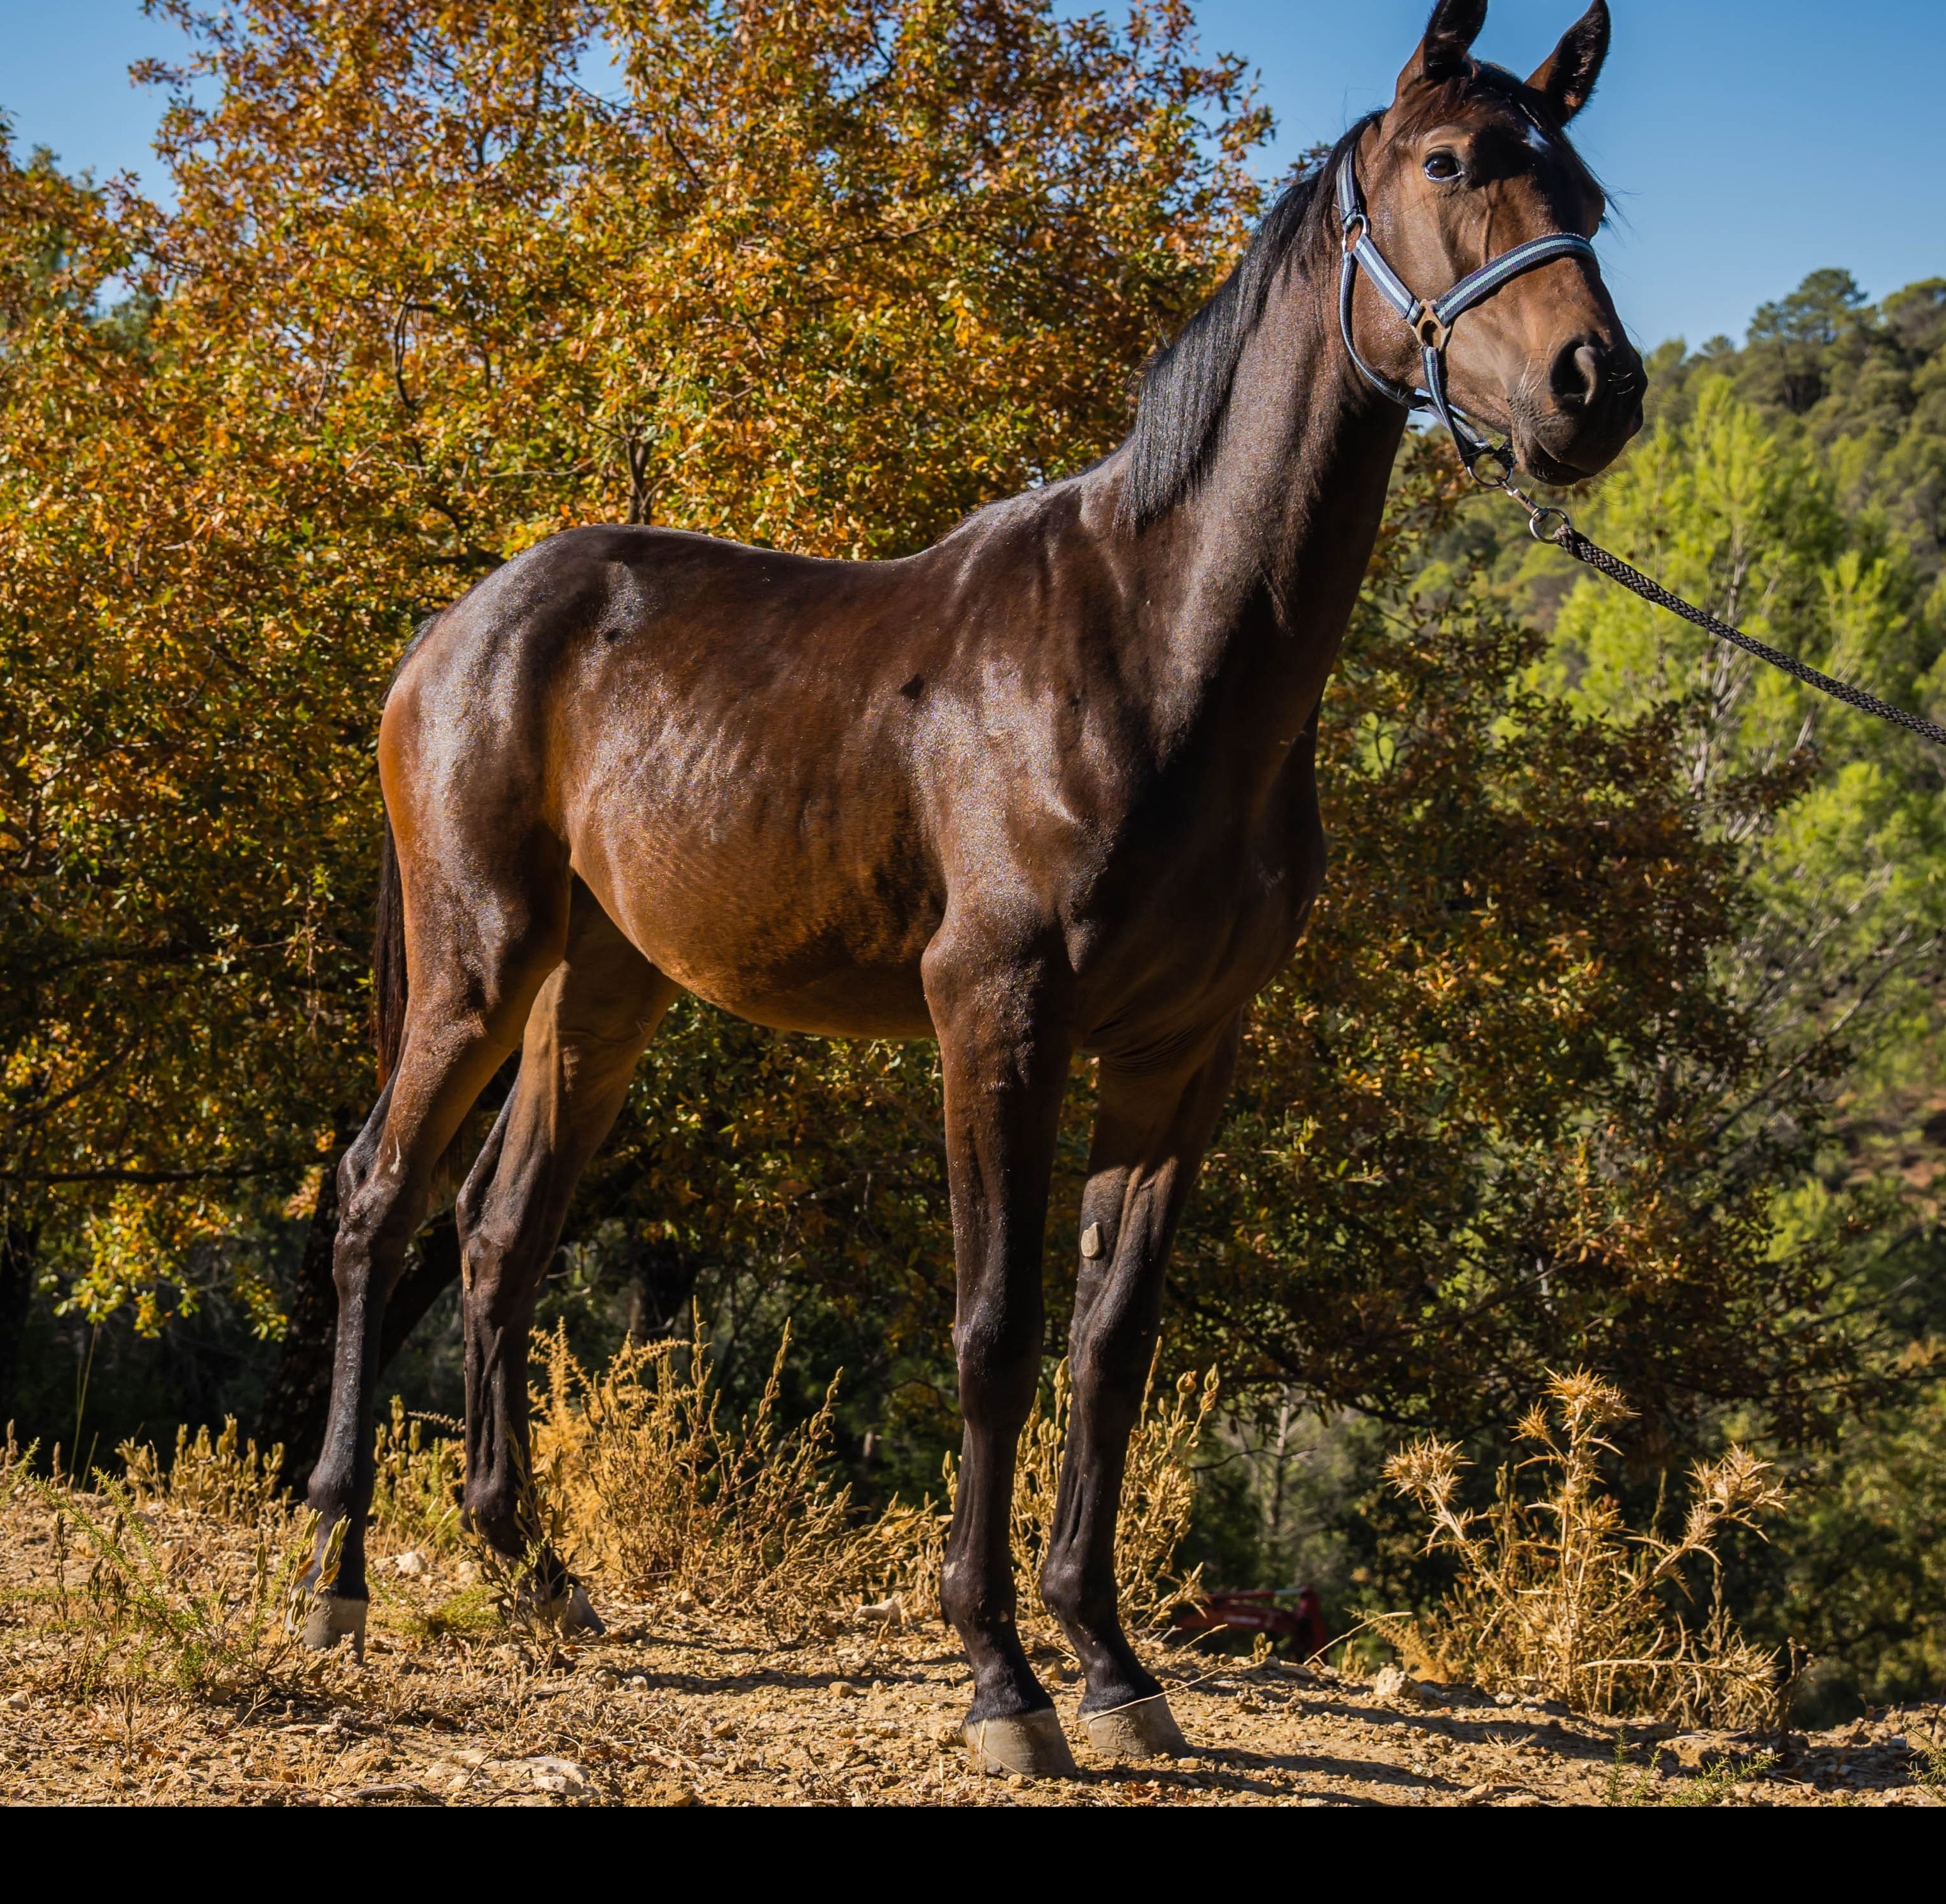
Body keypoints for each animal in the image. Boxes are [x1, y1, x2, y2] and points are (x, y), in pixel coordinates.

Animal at [300, 0, 1644, 1778]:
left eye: (1585, 193)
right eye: (1447, 165)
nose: (1595, 386)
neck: (1152, 644)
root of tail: (458, 629)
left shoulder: (1180, 1053)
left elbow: (1111, 1342)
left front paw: (1112, 1661)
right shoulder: (994, 1016)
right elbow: (995, 1330)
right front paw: (1001, 1672)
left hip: (603, 992)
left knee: (497, 1234)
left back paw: (539, 1576)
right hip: (477, 964)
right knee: (379, 1201)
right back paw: (333, 1574)